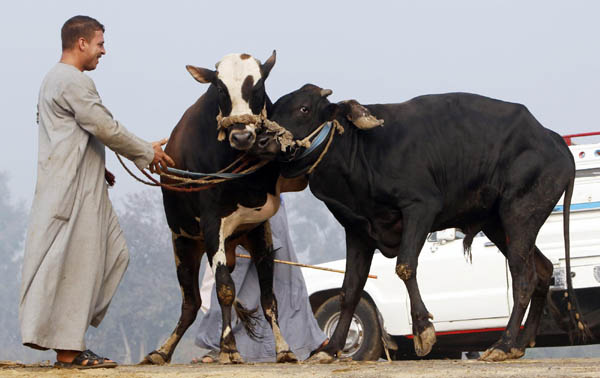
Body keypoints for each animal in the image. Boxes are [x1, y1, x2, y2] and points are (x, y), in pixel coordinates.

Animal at [141, 51, 300, 364]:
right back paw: (162, 351)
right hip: (184, 244)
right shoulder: (212, 225)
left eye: (259, 86)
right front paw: (229, 347)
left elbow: (268, 297)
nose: (241, 136)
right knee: (191, 303)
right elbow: (225, 289)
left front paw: (284, 348)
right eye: (220, 89)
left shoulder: (260, 231)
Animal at [255, 84, 588, 362]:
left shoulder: (421, 208)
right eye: (274, 110)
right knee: (542, 271)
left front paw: (423, 332)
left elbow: (405, 267)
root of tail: (550, 137)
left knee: (524, 277)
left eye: (304, 108)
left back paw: (503, 345)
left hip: (519, 215)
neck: (361, 153)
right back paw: (519, 344)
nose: (264, 140)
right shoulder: (358, 231)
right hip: (498, 224)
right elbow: (350, 290)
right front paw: (332, 348)